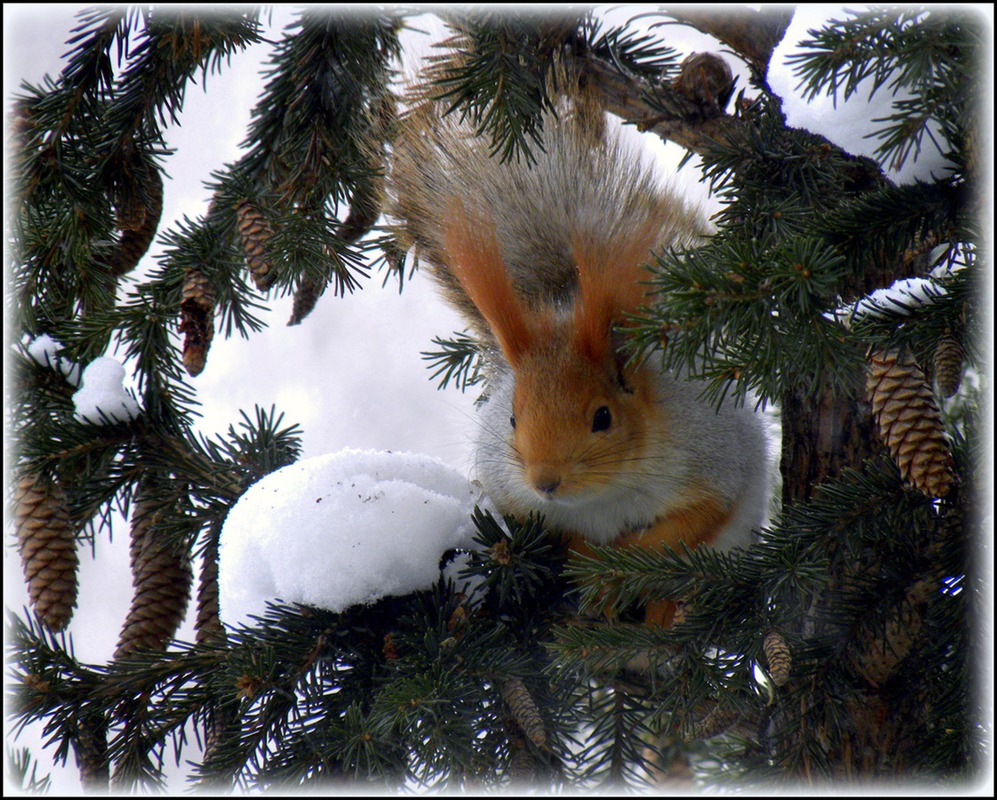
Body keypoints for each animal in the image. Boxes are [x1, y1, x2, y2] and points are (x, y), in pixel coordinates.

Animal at [388, 101, 772, 624]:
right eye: (512, 418)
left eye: (603, 417)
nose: (546, 482)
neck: (602, 497)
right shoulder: (513, 494)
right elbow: (562, 539)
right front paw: (590, 562)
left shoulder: (712, 461)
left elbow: (685, 527)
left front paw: (617, 568)